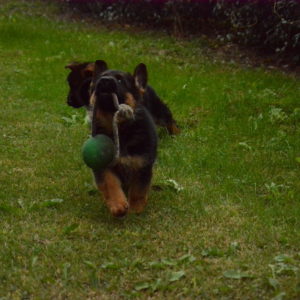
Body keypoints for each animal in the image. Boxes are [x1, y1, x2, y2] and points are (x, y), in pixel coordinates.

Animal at [88, 60, 157, 216]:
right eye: (100, 78)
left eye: (120, 80)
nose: (104, 81)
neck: (120, 130)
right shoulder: (103, 165)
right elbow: (110, 183)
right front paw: (117, 205)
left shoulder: (142, 164)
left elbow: (138, 189)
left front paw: (135, 209)